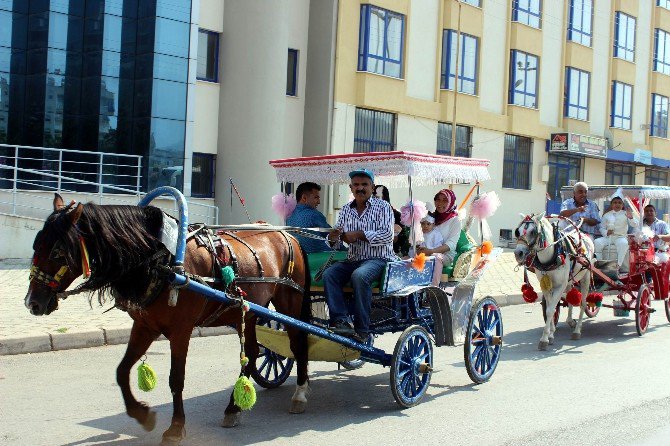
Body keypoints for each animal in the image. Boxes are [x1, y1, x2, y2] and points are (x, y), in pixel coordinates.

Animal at [25, 194, 312, 442]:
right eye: (36, 244)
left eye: (58, 252)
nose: (32, 303)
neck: (162, 261)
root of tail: (287, 234)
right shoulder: (145, 326)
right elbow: (121, 370)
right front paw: (142, 414)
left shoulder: (181, 330)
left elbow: (176, 379)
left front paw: (175, 427)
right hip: (249, 311)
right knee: (252, 353)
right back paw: (233, 408)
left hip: (290, 302)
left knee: (298, 344)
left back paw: (300, 394)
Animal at [516, 214, 596, 350]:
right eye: (518, 231)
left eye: (533, 232)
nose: (518, 253)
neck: (552, 255)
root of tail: (586, 236)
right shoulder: (546, 285)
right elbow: (551, 308)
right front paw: (551, 335)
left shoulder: (560, 285)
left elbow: (550, 310)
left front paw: (544, 339)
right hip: (569, 282)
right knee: (570, 298)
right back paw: (570, 321)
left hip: (585, 277)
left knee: (583, 304)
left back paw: (577, 331)